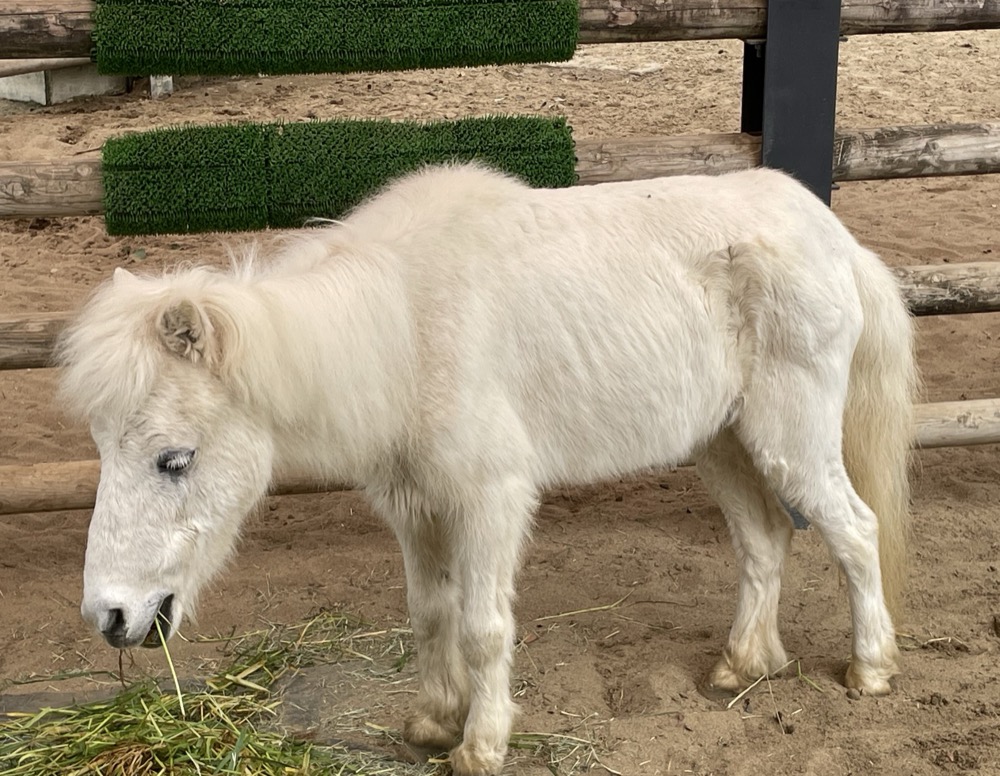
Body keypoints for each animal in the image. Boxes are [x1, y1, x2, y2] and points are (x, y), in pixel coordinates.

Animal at [56, 162, 916, 776]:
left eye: (173, 460)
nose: (111, 617)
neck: (406, 327)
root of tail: (835, 240)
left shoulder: (489, 501)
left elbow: (481, 625)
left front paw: (480, 745)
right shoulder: (416, 507)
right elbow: (430, 612)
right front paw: (434, 721)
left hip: (790, 440)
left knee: (854, 531)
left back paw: (871, 670)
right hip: (724, 444)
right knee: (765, 541)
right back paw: (742, 665)